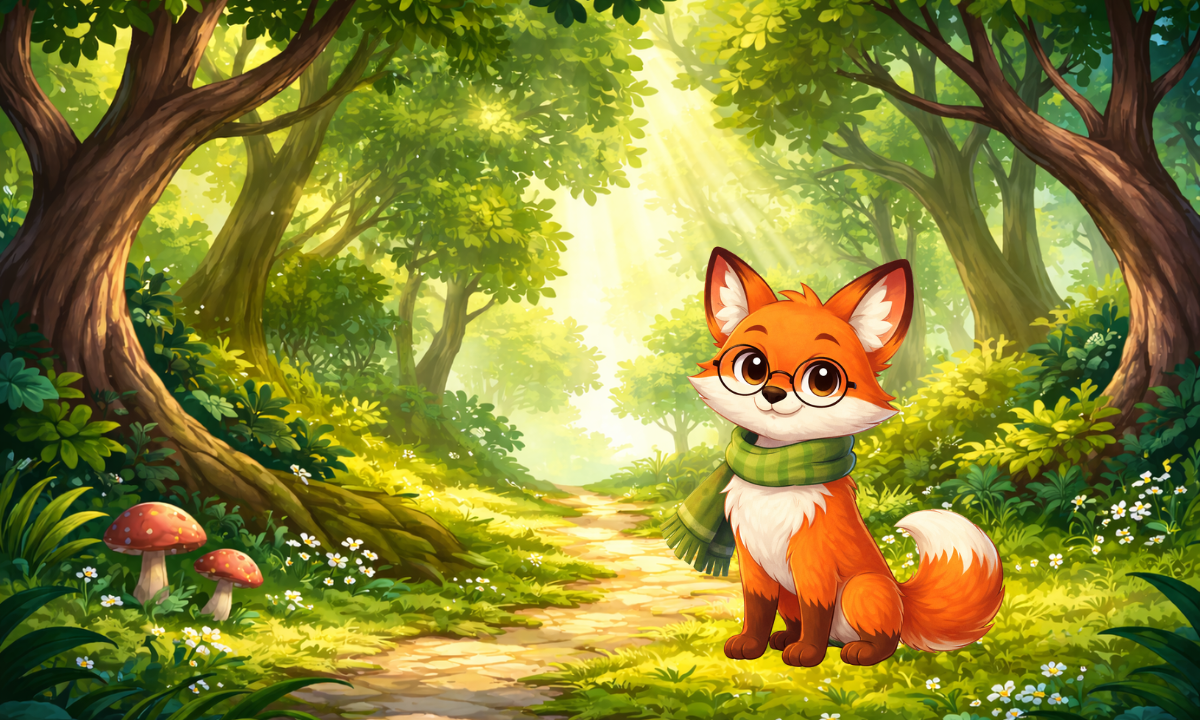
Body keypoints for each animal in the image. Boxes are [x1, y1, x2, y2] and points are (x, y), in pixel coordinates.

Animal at [686, 248, 1004, 667]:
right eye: (753, 366)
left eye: (823, 378)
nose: (771, 393)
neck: (777, 476)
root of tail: (903, 599)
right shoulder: (753, 562)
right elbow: (756, 610)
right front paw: (750, 645)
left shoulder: (813, 562)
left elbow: (816, 612)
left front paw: (807, 654)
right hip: (792, 594)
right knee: (796, 619)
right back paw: (784, 638)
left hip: (861, 589)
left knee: (885, 640)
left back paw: (857, 651)